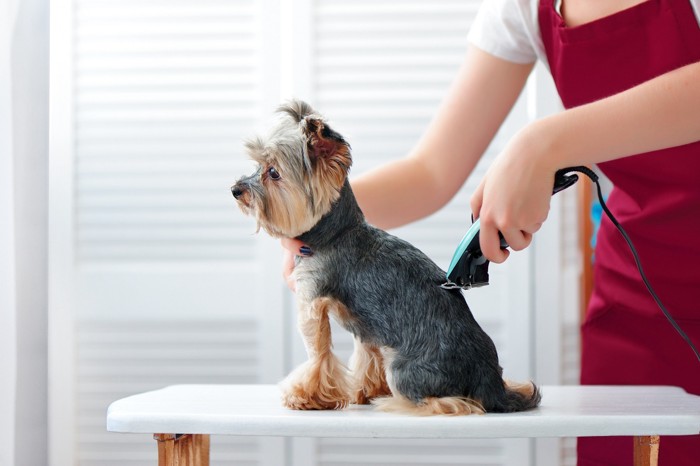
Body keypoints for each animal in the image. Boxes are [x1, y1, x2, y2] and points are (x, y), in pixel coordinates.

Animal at [232, 99, 544, 416]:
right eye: (257, 166)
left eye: (273, 173)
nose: (236, 190)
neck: (334, 233)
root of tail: (490, 382)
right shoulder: (367, 328)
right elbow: (366, 354)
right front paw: (364, 390)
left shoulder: (312, 300)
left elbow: (318, 353)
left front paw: (305, 395)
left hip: (403, 369)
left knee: (451, 402)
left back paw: (394, 401)